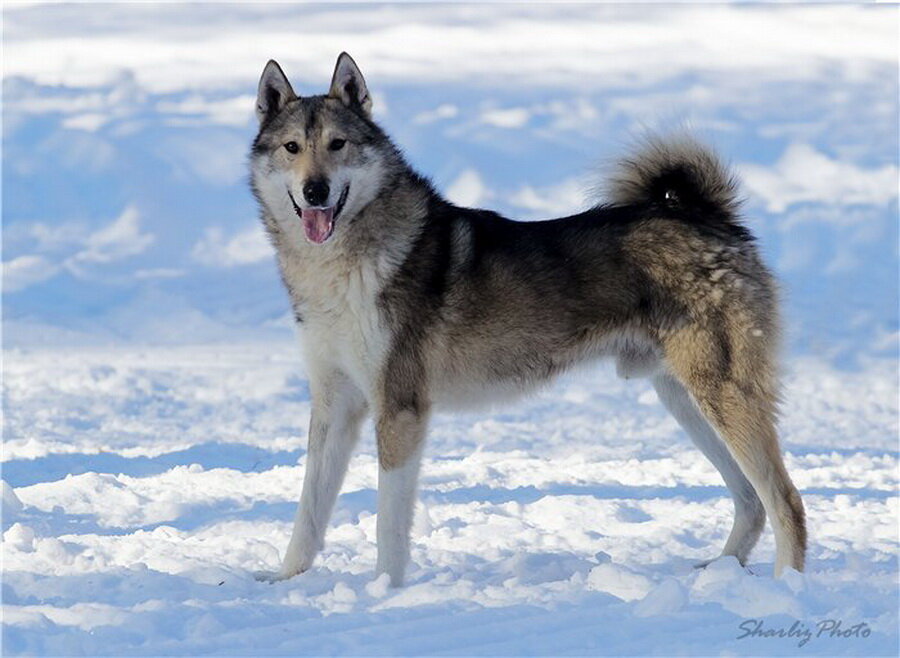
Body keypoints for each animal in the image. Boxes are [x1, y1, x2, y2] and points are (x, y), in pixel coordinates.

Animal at [248, 52, 808, 584]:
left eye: (338, 144)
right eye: (292, 148)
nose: (315, 190)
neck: (338, 269)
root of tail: (712, 218)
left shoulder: (400, 408)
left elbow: (389, 524)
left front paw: (383, 590)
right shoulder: (335, 404)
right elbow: (309, 509)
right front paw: (285, 579)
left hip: (721, 395)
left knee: (786, 500)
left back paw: (786, 587)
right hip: (685, 400)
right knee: (752, 502)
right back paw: (722, 573)